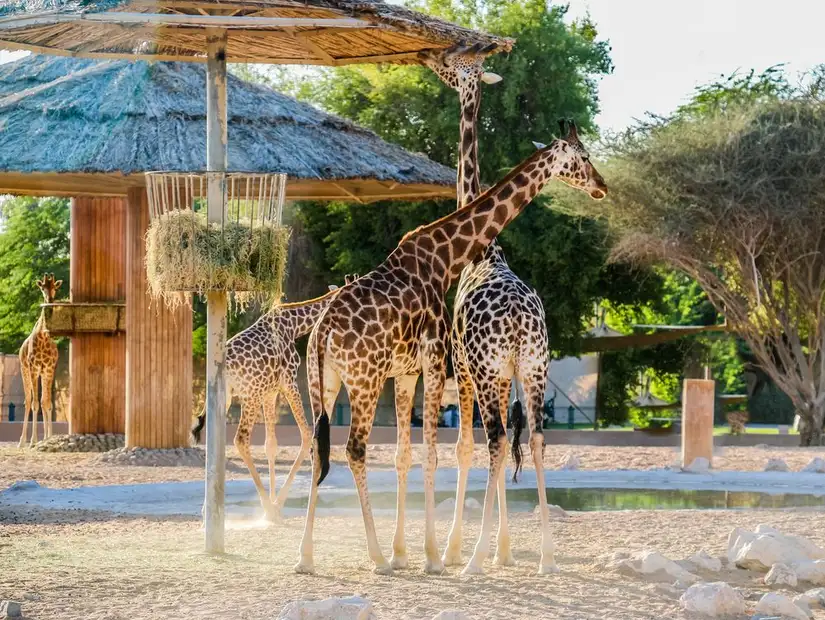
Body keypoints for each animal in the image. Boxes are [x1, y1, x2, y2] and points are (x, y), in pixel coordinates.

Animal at [17, 274, 61, 448]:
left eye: (55, 287)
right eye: (42, 287)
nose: (50, 299)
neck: (43, 336)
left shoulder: (49, 369)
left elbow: (47, 403)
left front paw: (48, 438)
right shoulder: (34, 368)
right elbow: (36, 403)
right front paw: (33, 440)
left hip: (43, 374)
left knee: (43, 401)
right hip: (25, 371)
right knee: (28, 401)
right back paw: (22, 441)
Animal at [193, 274, 360, 520]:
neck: (294, 325)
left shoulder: (270, 392)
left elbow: (271, 444)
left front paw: (274, 503)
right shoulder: (288, 381)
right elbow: (305, 434)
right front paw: (276, 505)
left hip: (227, 398)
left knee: (216, 439)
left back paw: (208, 510)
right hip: (249, 396)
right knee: (240, 439)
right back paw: (266, 507)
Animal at [296, 121, 604, 576]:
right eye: (583, 157)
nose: (602, 185)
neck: (446, 258)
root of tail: (323, 332)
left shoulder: (408, 370)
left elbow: (409, 454)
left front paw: (411, 552)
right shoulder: (436, 356)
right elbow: (433, 453)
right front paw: (430, 556)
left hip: (326, 381)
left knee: (319, 449)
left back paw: (306, 558)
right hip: (369, 378)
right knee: (356, 449)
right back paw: (381, 558)